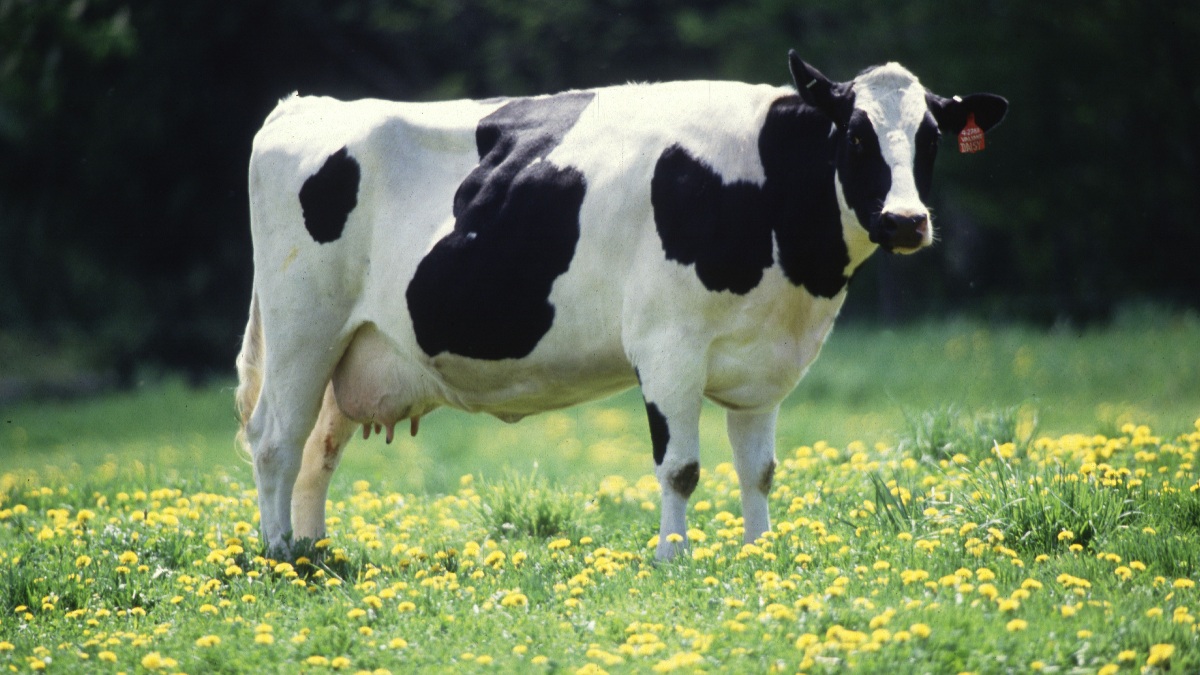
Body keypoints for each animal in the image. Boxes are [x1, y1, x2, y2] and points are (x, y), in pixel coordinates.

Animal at [236, 51, 1007, 560]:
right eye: (855, 134)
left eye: (931, 137)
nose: (906, 220)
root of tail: (304, 105)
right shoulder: (668, 346)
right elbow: (681, 467)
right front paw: (673, 558)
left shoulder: (764, 364)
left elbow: (758, 469)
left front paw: (760, 553)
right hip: (303, 327)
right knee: (276, 439)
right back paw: (280, 556)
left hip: (352, 347)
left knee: (317, 449)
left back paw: (315, 551)